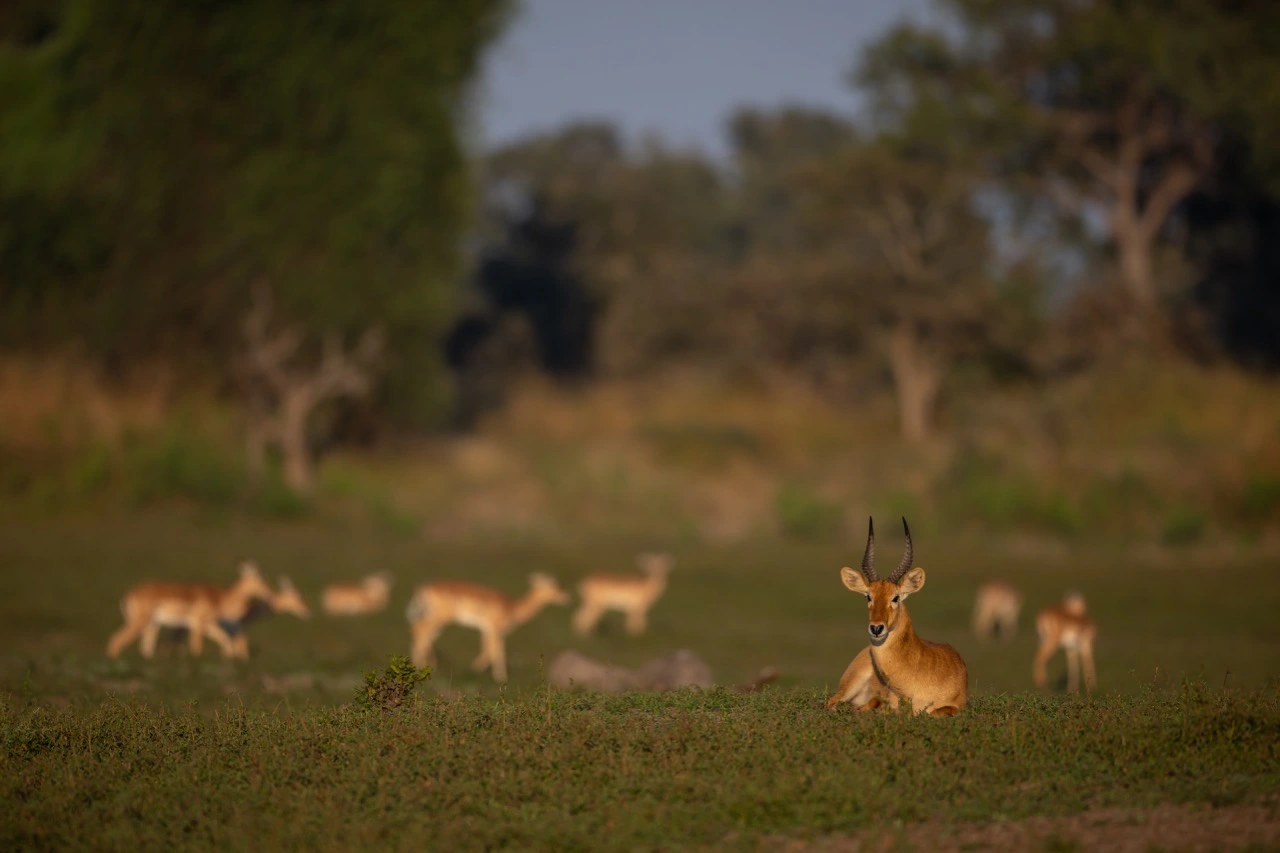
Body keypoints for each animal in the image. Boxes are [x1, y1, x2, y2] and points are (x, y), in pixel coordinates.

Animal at [106, 558, 272, 655]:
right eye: (260, 577)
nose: (269, 591)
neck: (220, 598)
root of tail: (129, 593)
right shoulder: (197, 624)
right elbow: (196, 646)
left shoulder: (208, 624)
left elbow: (224, 639)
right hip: (140, 623)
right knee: (116, 640)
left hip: (151, 625)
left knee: (145, 648)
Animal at [404, 568, 570, 681]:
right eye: (555, 585)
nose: (565, 597)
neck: (512, 607)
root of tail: (423, 587)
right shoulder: (491, 629)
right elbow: (492, 650)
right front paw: (488, 674)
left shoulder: (492, 631)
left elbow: (495, 650)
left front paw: (498, 676)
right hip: (441, 617)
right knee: (419, 629)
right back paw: (427, 665)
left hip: (438, 621)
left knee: (419, 630)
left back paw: (420, 665)